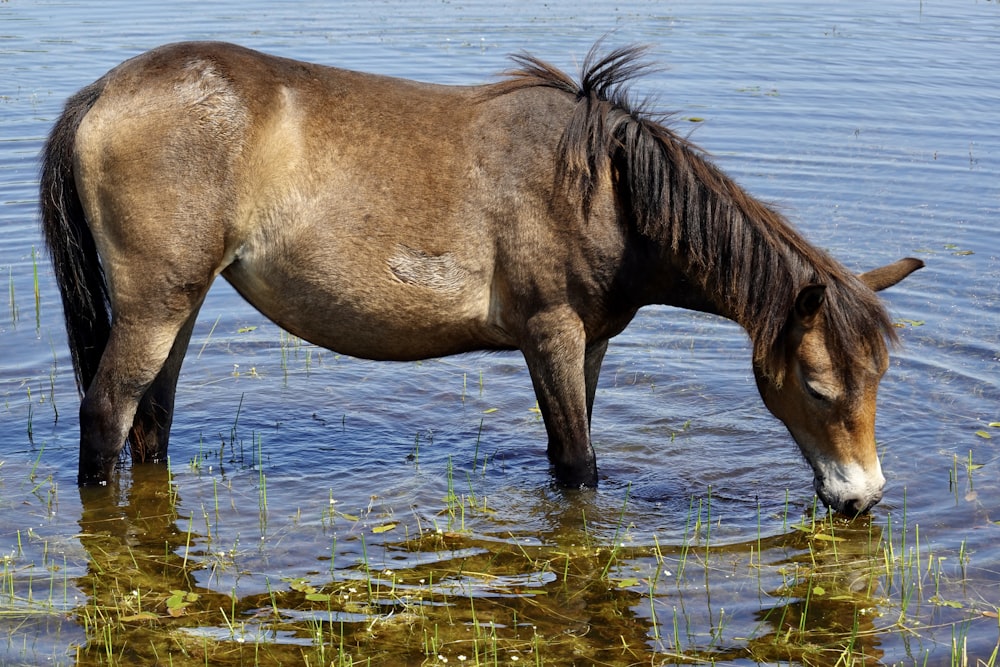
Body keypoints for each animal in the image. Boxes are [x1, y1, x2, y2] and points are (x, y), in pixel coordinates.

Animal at [43, 41, 924, 516]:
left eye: (880, 379)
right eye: (816, 385)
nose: (863, 497)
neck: (606, 189)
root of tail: (105, 90)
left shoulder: (590, 344)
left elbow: (572, 448)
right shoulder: (549, 333)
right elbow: (577, 463)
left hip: (181, 304)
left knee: (150, 424)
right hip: (155, 306)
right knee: (106, 414)